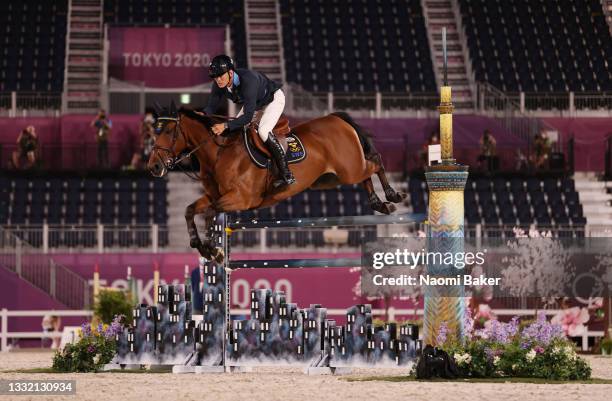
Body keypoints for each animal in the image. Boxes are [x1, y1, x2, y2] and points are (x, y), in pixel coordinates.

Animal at [148, 102, 406, 260]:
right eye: (154, 131)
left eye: (169, 131)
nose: (153, 167)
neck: (219, 152)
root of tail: (336, 118)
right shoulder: (213, 196)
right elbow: (190, 210)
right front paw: (200, 246)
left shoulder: (241, 199)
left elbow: (212, 212)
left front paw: (213, 250)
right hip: (333, 178)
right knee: (366, 175)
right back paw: (379, 204)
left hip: (349, 169)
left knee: (376, 162)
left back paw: (393, 195)